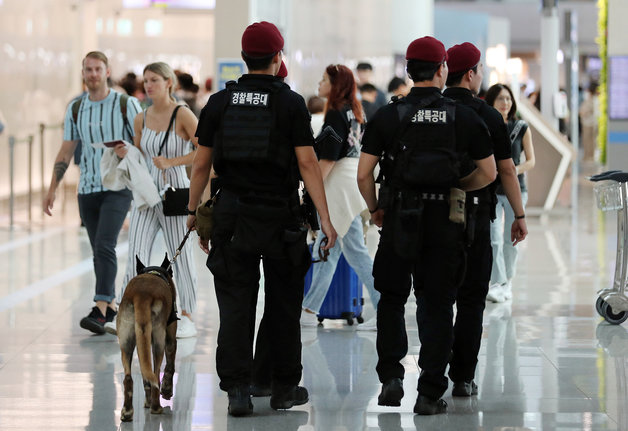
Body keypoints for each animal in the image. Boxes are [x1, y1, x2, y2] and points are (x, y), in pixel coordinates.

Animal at [118, 255, 178, 424]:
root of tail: (142, 295)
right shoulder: (170, 337)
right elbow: (169, 366)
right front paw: (167, 390)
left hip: (127, 343)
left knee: (130, 378)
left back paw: (128, 411)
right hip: (159, 341)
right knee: (156, 373)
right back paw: (156, 407)